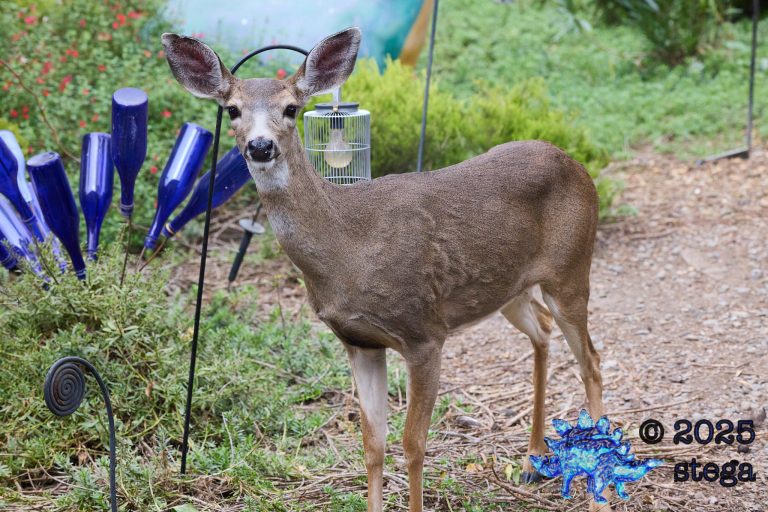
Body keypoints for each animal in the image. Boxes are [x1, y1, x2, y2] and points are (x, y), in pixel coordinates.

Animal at [162, 27, 608, 512]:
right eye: (232, 109)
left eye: (291, 108)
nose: (261, 146)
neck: (348, 250)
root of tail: (574, 162)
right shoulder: (360, 343)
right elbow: (372, 443)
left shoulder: (425, 333)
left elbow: (413, 444)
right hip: (508, 288)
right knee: (542, 331)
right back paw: (531, 461)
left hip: (572, 268)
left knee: (592, 360)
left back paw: (597, 492)